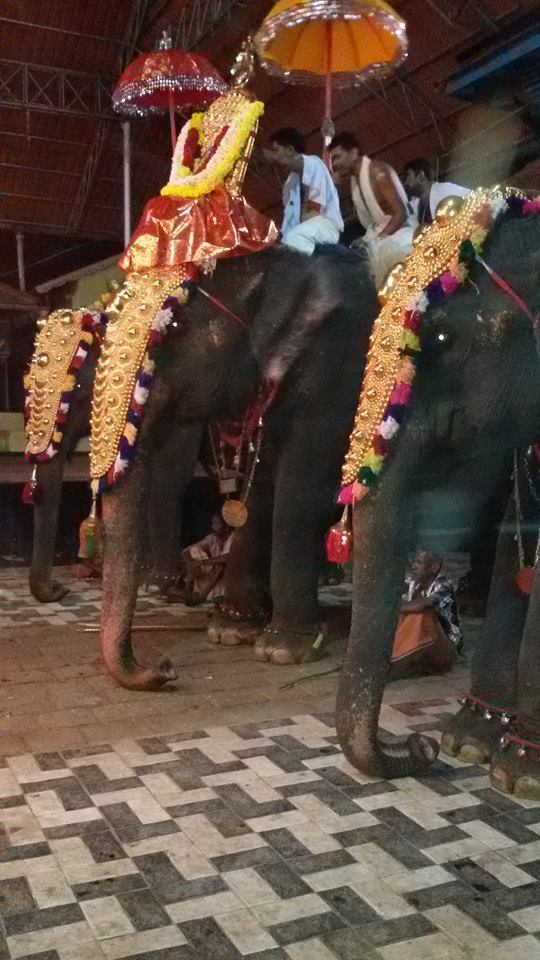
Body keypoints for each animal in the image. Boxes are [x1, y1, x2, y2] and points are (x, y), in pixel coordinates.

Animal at [99, 242, 378, 688]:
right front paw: (231, 630)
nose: (164, 667)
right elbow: (260, 487)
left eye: (173, 329)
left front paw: (283, 650)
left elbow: (302, 487)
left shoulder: (337, 367)